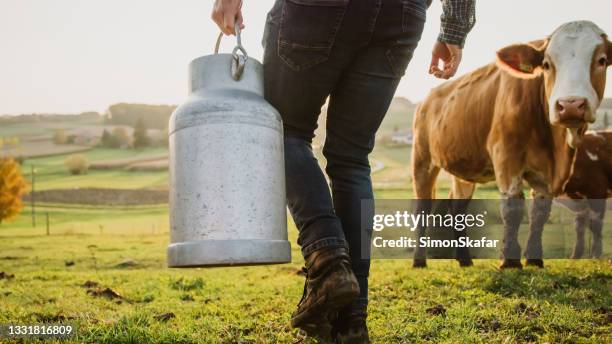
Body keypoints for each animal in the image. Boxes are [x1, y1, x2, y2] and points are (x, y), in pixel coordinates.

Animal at [414, 20, 608, 268]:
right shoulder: (506, 155)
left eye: (602, 60)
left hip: (463, 168)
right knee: (423, 208)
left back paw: (465, 259)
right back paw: (419, 261)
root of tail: (427, 98)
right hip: (423, 160)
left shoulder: (546, 172)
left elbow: (540, 212)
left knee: (457, 208)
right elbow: (513, 207)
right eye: (546, 64)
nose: (571, 105)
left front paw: (534, 259)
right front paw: (510, 261)